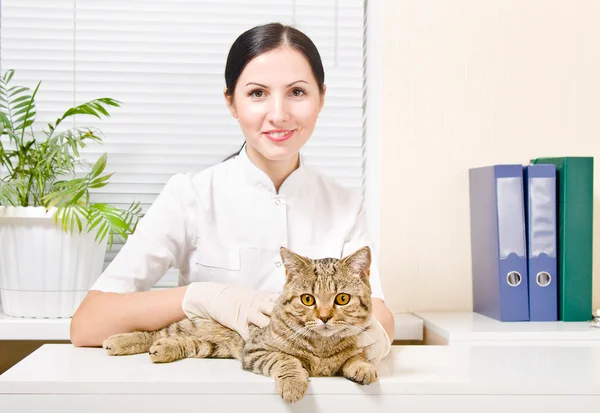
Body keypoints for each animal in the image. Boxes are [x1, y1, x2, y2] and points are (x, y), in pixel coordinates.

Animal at [101, 246, 378, 400]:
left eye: (342, 298)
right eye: (307, 299)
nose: (324, 317)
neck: (322, 346)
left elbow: (356, 356)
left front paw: (363, 367)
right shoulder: (257, 350)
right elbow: (286, 360)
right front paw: (293, 382)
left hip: (213, 346)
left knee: (188, 343)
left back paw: (164, 349)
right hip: (196, 327)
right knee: (158, 332)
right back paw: (120, 341)